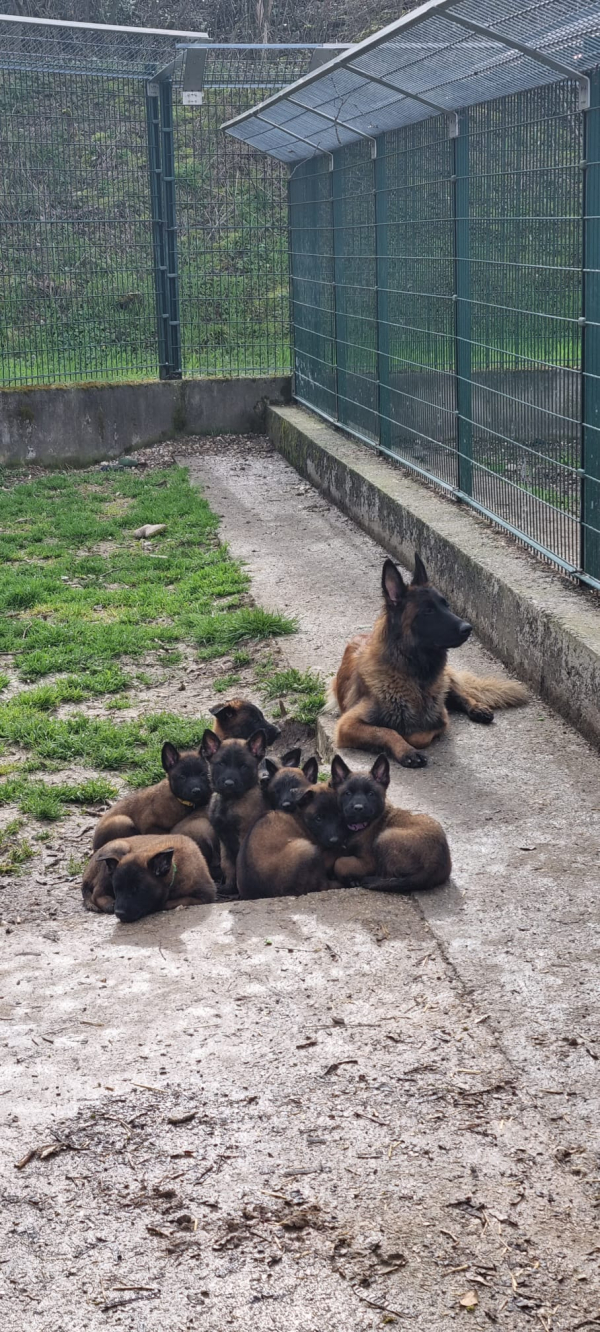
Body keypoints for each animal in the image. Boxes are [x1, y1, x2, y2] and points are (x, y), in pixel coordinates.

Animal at [82, 836, 216, 921]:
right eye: (117, 889)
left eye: (138, 890)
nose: (119, 913)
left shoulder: (205, 896)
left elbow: (177, 901)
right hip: (119, 847)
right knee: (97, 893)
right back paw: (109, 903)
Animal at [333, 551, 530, 767]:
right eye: (428, 611)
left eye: (446, 605)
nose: (468, 628)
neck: (413, 674)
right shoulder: (347, 725)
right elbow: (386, 731)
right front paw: (406, 749)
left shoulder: (440, 717)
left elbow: (420, 734)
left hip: (444, 684)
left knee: (457, 694)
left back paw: (476, 707)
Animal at [333, 756, 450, 889]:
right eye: (347, 793)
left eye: (371, 793)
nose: (358, 808)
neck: (363, 825)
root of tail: (434, 866)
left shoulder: (369, 862)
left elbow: (339, 863)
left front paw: (351, 880)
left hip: (385, 836)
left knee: (389, 876)